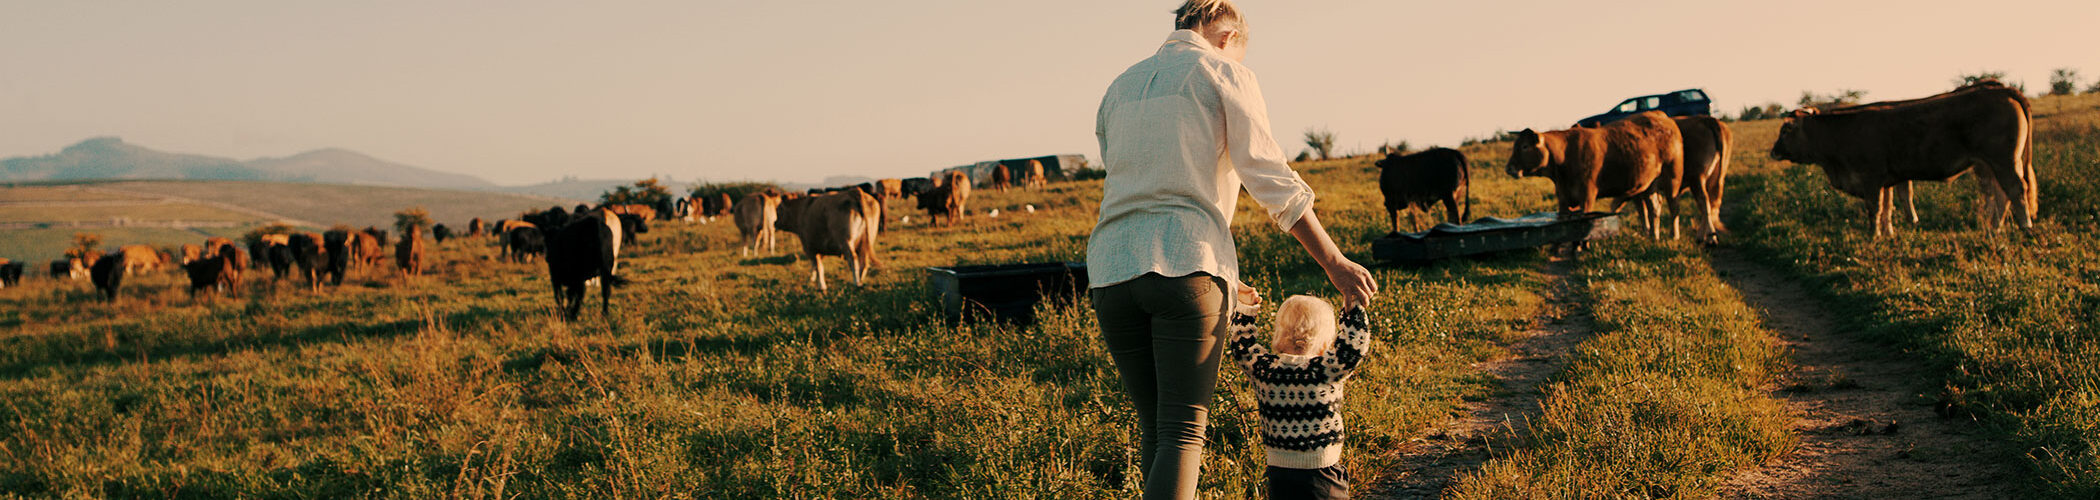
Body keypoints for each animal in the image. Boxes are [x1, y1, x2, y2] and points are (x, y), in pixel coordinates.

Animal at [1511, 111, 1688, 240]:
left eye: (1525, 146)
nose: (1509, 167)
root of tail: (1663, 117)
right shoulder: (1563, 198)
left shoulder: (1587, 196)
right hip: (1649, 184)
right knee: (1653, 208)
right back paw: (1652, 236)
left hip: (1673, 178)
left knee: (1673, 205)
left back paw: (1674, 235)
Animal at [1772, 81, 2032, 236]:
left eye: (1785, 130)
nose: (1773, 151)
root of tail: (1999, 88)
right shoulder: (1888, 179)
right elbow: (1889, 206)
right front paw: (1888, 233)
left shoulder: (1871, 178)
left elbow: (1874, 208)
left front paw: (1874, 236)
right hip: (1989, 165)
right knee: (2000, 194)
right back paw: (1994, 229)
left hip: (2004, 161)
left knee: (2016, 190)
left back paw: (2025, 227)